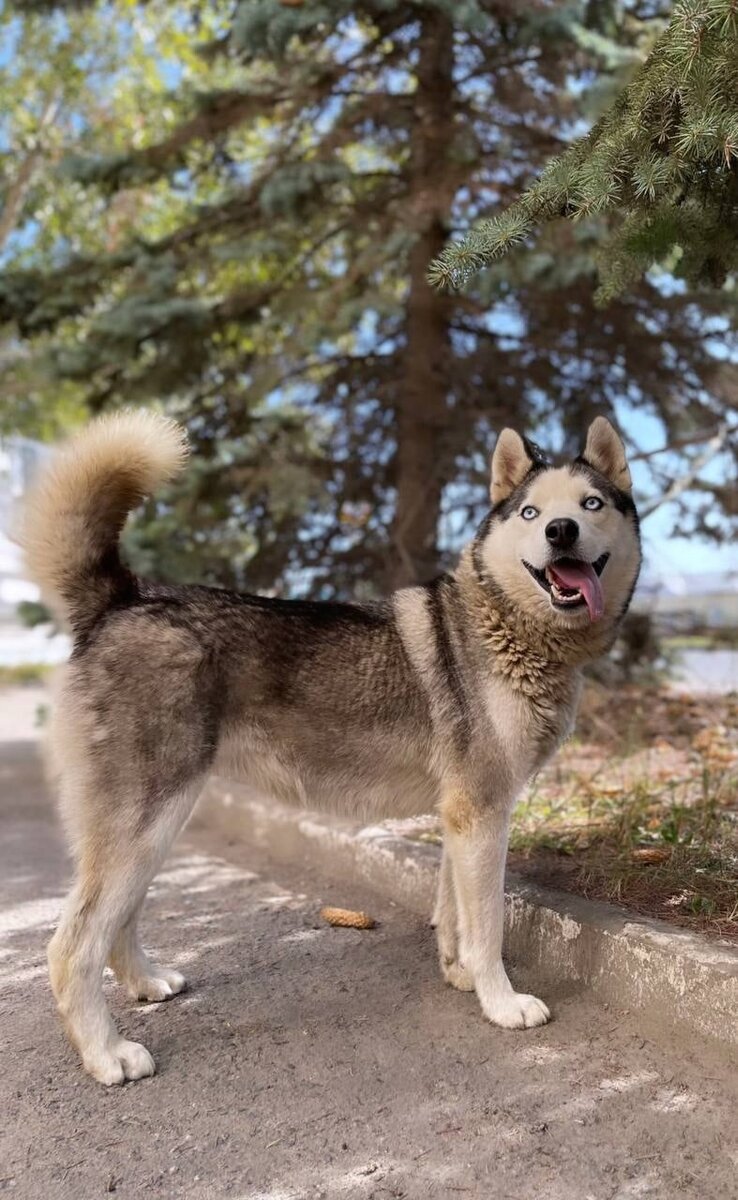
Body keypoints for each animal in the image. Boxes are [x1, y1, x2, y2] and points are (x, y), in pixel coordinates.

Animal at [24, 408, 643, 1084]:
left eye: (590, 504)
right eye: (531, 513)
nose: (561, 531)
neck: (507, 627)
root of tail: (123, 598)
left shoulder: (462, 819)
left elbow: (454, 916)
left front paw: (458, 976)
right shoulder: (482, 815)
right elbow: (488, 929)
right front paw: (501, 1004)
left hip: (156, 829)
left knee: (118, 921)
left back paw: (145, 983)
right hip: (145, 824)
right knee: (71, 946)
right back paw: (105, 1053)